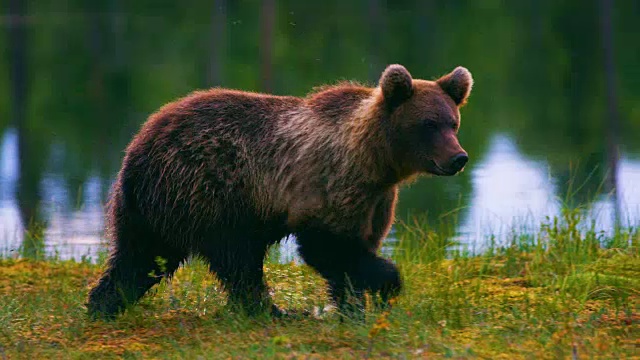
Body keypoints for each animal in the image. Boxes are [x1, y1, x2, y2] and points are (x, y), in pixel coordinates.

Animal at [87, 63, 472, 320]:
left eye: (452, 122)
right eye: (428, 124)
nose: (458, 157)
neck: (376, 162)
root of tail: (137, 145)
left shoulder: (374, 200)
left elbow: (355, 249)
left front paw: (351, 305)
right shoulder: (329, 187)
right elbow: (329, 248)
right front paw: (384, 285)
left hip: (157, 209)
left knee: (141, 258)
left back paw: (103, 303)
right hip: (210, 193)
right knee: (237, 261)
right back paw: (271, 310)